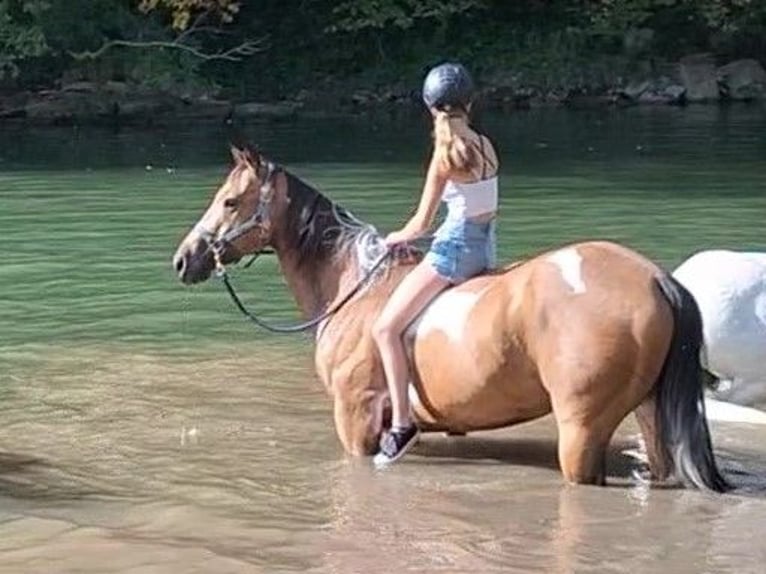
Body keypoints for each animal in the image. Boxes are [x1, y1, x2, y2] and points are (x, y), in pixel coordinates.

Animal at [172, 146, 732, 492]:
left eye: (230, 201)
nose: (184, 259)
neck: (354, 286)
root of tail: (655, 278)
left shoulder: (354, 419)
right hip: (649, 413)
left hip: (582, 429)